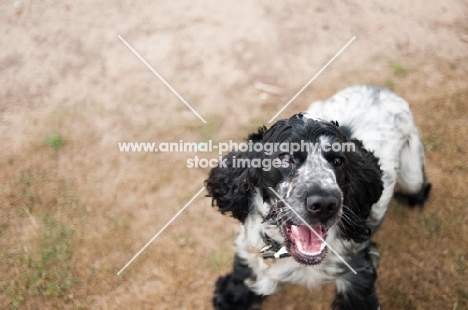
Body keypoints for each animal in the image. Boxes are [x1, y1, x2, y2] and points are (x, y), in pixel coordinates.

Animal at [205, 85, 432, 310]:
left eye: (339, 161)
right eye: (286, 157)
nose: (324, 204)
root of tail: (379, 89)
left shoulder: (358, 272)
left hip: (412, 174)